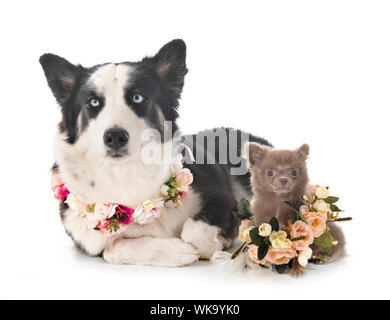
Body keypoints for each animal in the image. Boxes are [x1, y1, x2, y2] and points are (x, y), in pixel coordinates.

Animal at [40, 38, 272, 266]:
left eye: (137, 97)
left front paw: (210, 245)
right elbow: (113, 249)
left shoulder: (222, 198)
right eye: (94, 102)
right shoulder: (89, 241)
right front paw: (177, 251)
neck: (125, 172)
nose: (115, 137)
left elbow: (193, 231)